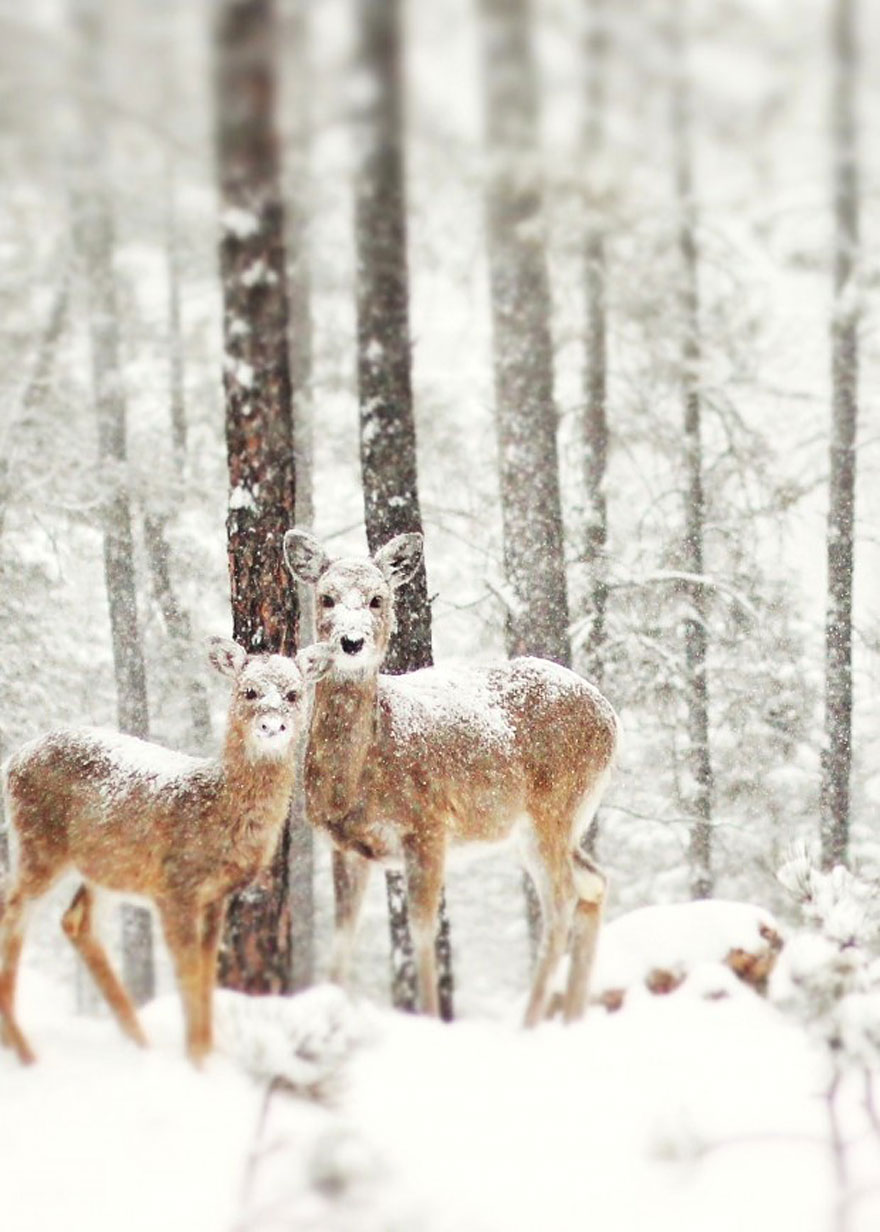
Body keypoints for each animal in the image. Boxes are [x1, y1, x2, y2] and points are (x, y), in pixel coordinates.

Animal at [0, 635, 330, 1069]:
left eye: (293, 694)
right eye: (249, 691)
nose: (272, 725)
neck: (215, 806)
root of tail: (12, 761)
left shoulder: (215, 897)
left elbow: (206, 972)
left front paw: (206, 1053)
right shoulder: (176, 887)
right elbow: (188, 971)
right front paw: (196, 1061)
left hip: (107, 867)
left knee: (76, 922)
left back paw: (137, 1040)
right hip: (39, 843)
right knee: (13, 911)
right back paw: (23, 1049)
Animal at [281, 524, 616, 1025]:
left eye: (378, 598)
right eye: (326, 597)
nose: (351, 642)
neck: (356, 780)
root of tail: (611, 718)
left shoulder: (429, 825)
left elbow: (422, 931)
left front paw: (429, 1017)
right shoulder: (347, 845)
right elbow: (342, 941)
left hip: (554, 806)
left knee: (561, 902)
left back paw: (530, 1021)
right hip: (540, 828)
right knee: (594, 883)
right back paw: (570, 1017)